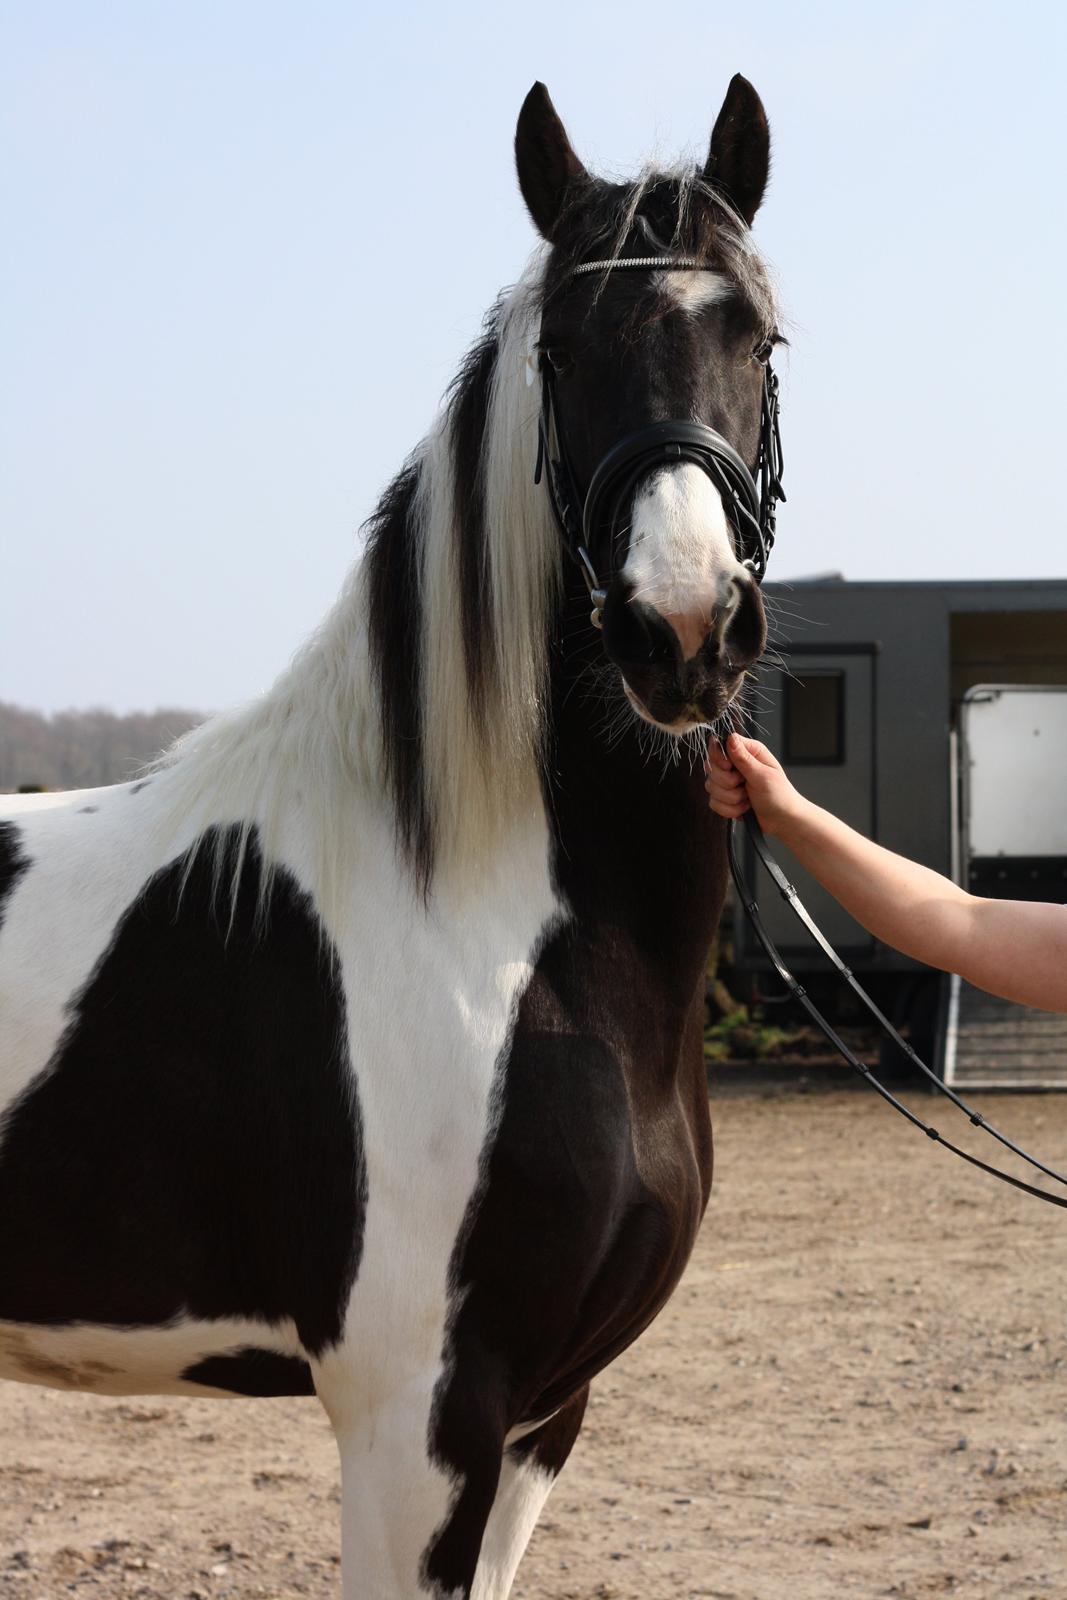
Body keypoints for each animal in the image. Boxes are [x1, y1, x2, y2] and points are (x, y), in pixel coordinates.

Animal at [0, 72, 783, 1600]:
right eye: (561, 352)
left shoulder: (541, 1416)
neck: (479, 925)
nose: (679, 628)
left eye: (760, 338)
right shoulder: (414, 1415)